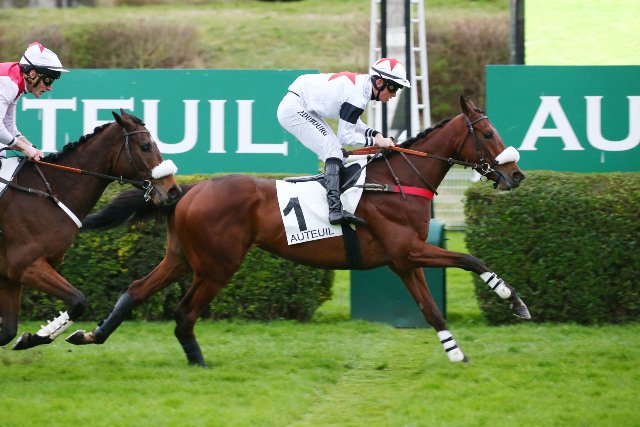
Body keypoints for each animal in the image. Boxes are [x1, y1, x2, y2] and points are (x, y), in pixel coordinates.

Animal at [0, 110, 181, 350]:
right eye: (145, 146)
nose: (173, 190)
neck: (48, 193)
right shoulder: (27, 265)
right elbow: (78, 301)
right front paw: (37, 337)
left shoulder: (11, 274)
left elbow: (8, 332)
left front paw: (29, 338)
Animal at [67, 96, 530, 365]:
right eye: (488, 132)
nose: (516, 176)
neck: (397, 180)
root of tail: (190, 190)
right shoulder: (409, 250)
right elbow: (470, 258)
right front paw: (515, 301)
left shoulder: (403, 260)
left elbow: (431, 309)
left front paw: (457, 354)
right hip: (216, 265)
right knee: (184, 312)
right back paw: (197, 361)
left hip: (181, 257)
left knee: (135, 290)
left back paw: (90, 335)